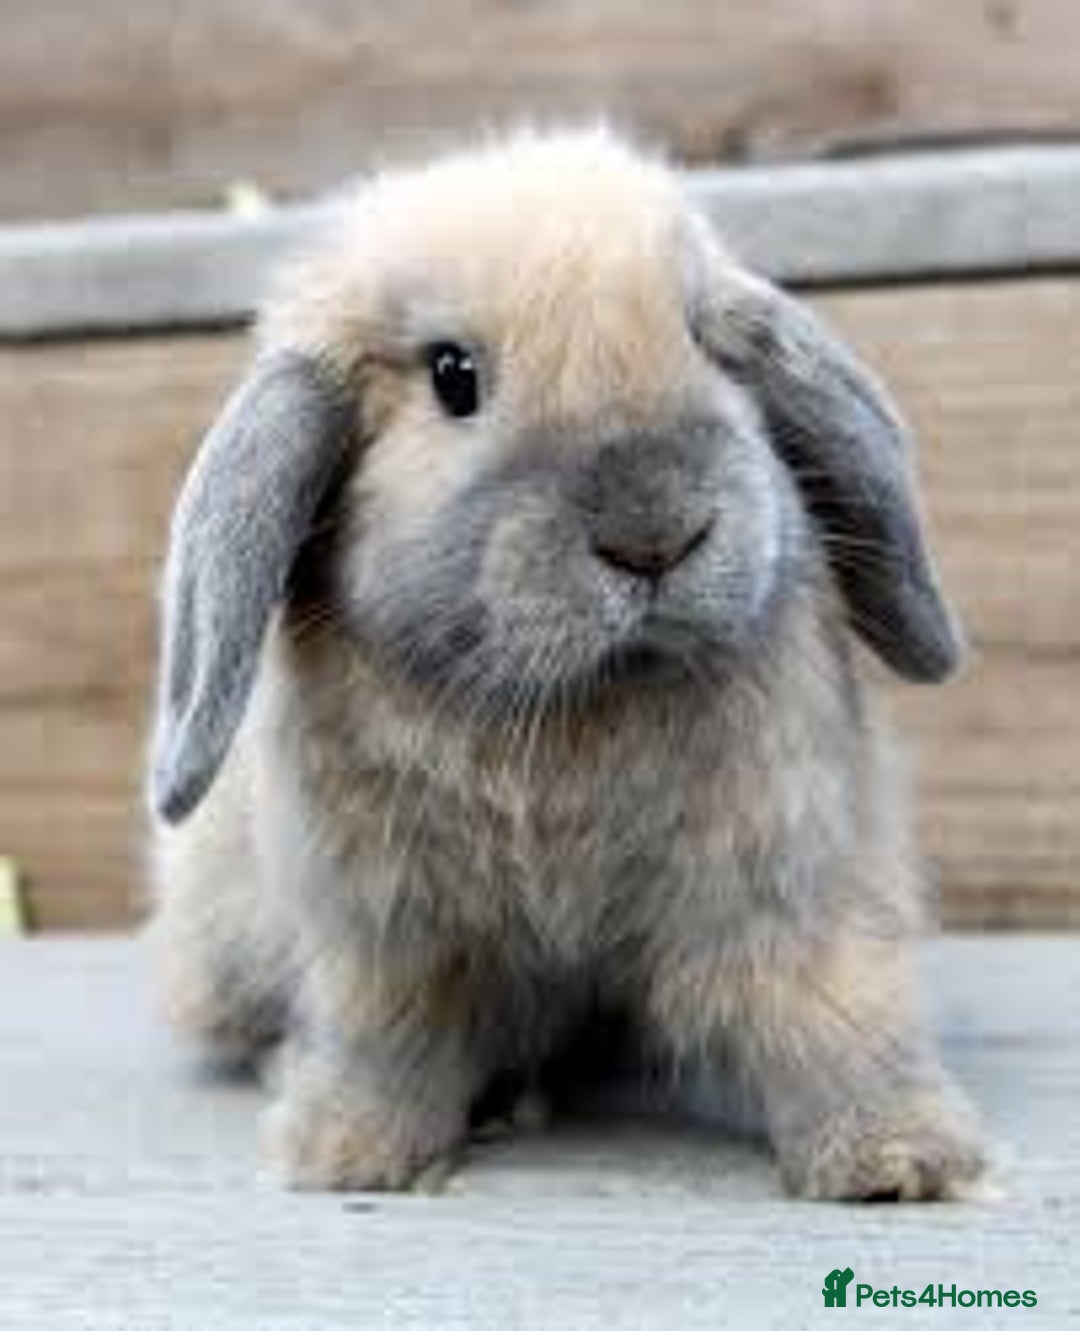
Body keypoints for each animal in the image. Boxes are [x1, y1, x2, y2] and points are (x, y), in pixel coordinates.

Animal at [146, 127, 986, 1199]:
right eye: (452, 374)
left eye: (704, 340)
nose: (655, 533)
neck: (576, 708)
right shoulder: (389, 932)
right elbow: (389, 1041)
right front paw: (348, 1154)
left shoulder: (786, 878)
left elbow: (827, 1008)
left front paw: (899, 1156)